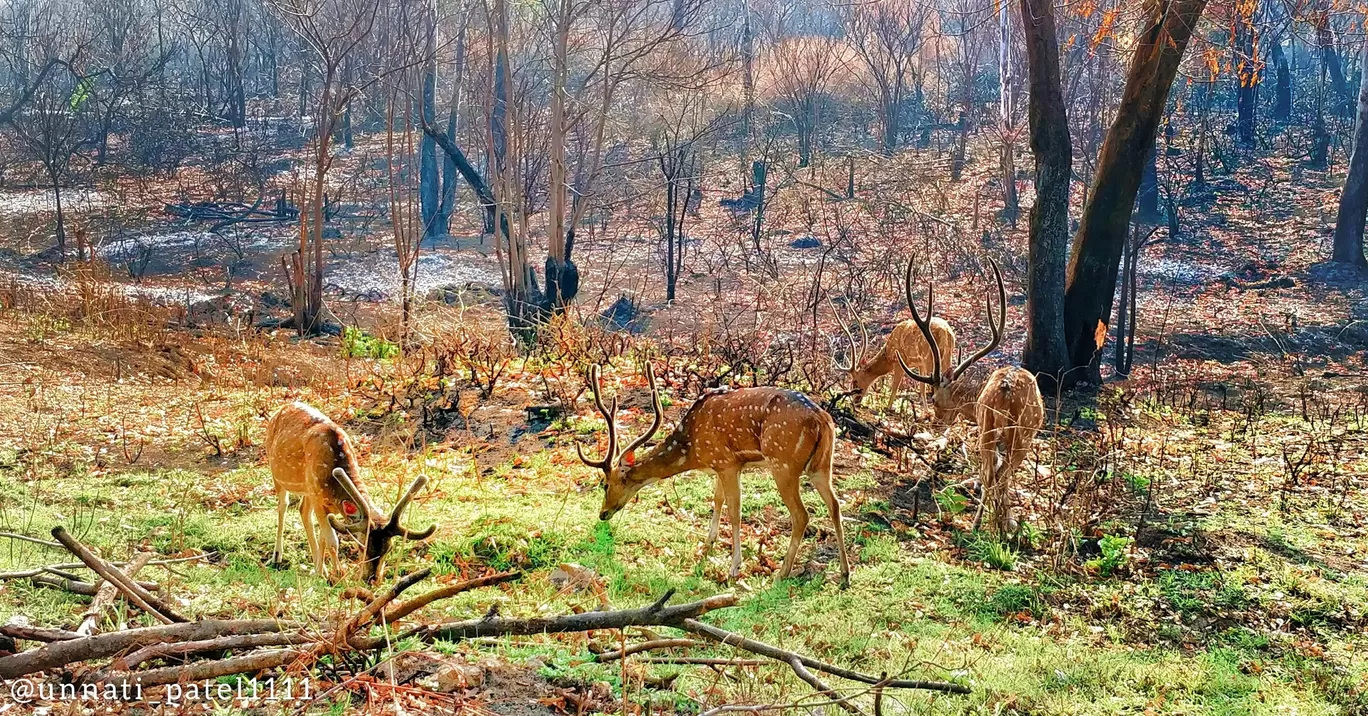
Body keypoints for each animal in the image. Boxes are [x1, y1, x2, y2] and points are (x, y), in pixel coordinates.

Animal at [264, 399, 435, 585]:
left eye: (390, 548)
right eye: (361, 546)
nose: (372, 579)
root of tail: (282, 408)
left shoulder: (319, 497)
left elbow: (323, 535)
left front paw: (321, 571)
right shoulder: (317, 496)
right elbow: (332, 540)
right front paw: (338, 576)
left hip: (307, 489)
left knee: (303, 510)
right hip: (277, 473)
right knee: (283, 506)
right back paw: (277, 557)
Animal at [574, 366, 848, 585]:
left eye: (604, 484)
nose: (602, 513)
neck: (693, 449)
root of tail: (822, 418)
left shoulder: (728, 463)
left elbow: (735, 511)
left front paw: (734, 568)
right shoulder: (720, 465)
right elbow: (717, 500)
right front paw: (708, 543)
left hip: (783, 463)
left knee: (801, 515)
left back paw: (782, 573)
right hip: (821, 465)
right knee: (835, 505)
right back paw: (845, 575)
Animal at [897, 260, 1045, 533]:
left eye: (934, 399)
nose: (936, 424)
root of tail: (1005, 391)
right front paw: (1007, 520)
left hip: (991, 428)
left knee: (990, 473)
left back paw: (982, 523)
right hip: (1018, 435)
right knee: (999, 475)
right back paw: (995, 525)